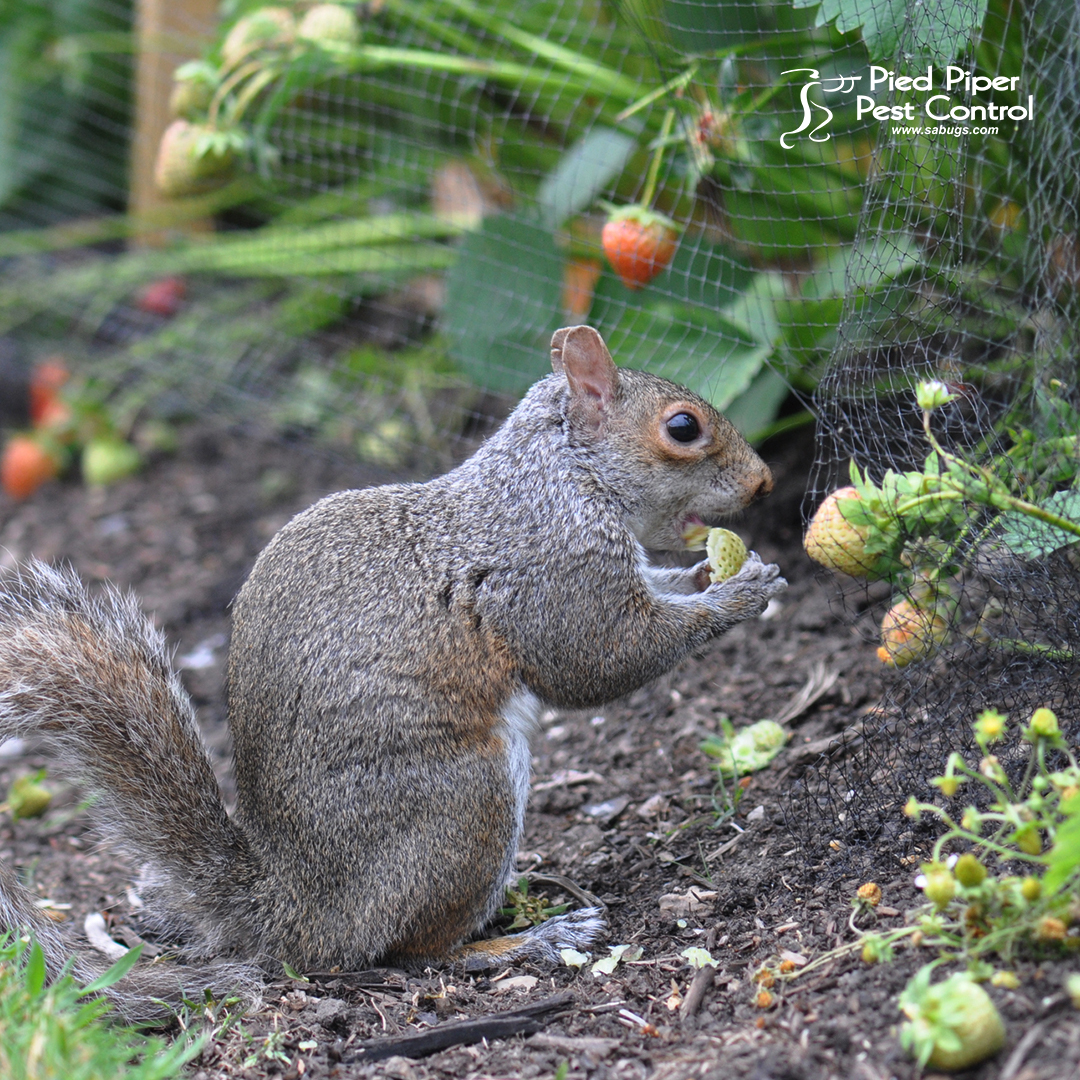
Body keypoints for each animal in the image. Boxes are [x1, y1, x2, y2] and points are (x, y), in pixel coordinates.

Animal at [0, 325, 785, 1015]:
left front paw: (709, 574)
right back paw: (526, 940)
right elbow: (598, 661)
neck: (562, 473)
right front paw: (734, 595)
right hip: (466, 803)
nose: (766, 483)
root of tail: (295, 910)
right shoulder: (551, 569)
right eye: (682, 427)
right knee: (415, 950)